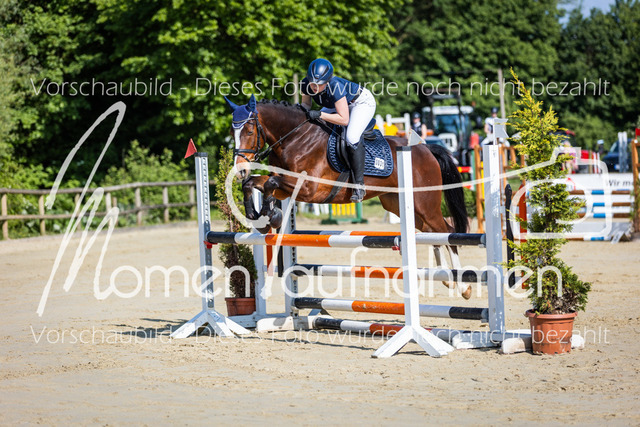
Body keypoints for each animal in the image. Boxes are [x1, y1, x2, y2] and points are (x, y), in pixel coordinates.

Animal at [225, 94, 472, 299]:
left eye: (249, 131)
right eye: (231, 133)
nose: (240, 169)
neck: (295, 138)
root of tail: (427, 149)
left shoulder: (310, 188)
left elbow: (270, 184)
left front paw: (271, 214)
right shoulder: (286, 186)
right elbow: (253, 184)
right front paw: (258, 216)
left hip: (425, 204)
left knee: (447, 231)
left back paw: (463, 287)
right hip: (401, 205)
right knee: (432, 233)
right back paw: (446, 279)